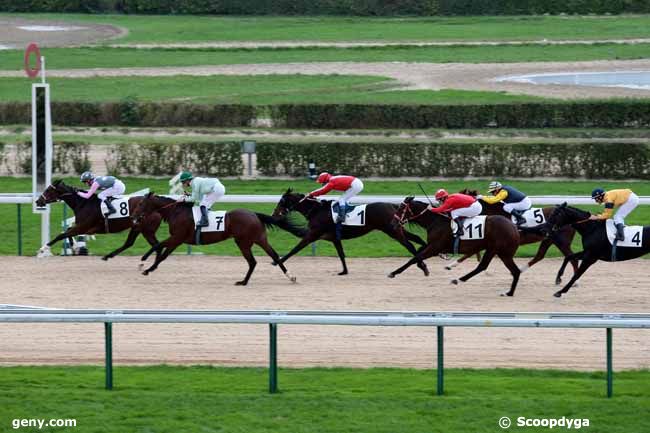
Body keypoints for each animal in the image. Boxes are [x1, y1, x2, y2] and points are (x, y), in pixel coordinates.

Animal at [132, 194, 306, 286]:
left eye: (140, 203)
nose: (133, 217)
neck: (177, 212)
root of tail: (254, 214)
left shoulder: (177, 237)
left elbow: (157, 247)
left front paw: (143, 265)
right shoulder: (177, 240)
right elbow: (163, 255)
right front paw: (149, 268)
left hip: (243, 242)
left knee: (253, 261)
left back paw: (243, 281)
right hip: (259, 239)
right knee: (273, 256)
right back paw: (290, 276)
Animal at [270, 187, 428, 276]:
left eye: (282, 201)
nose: (274, 215)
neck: (316, 211)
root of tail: (394, 206)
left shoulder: (312, 234)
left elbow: (295, 249)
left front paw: (277, 262)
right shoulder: (334, 238)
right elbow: (341, 254)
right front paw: (344, 271)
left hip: (392, 231)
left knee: (410, 245)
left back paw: (422, 266)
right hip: (395, 228)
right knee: (417, 239)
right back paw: (423, 256)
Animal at [384, 197, 520, 296]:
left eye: (401, 208)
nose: (392, 224)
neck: (435, 221)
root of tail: (513, 227)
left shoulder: (435, 247)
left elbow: (414, 258)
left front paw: (394, 273)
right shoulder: (433, 246)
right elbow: (418, 253)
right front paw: (423, 267)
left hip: (497, 250)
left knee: (488, 267)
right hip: (499, 252)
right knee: (507, 270)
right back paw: (509, 292)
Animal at [446, 188, 576, 284]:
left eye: (459, 197)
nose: (448, 213)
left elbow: (472, 253)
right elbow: (470, 253)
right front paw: (451, 265)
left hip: (561, 242)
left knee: (572, 258)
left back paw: (574, 281)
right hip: (548, 239)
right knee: (540, 256)